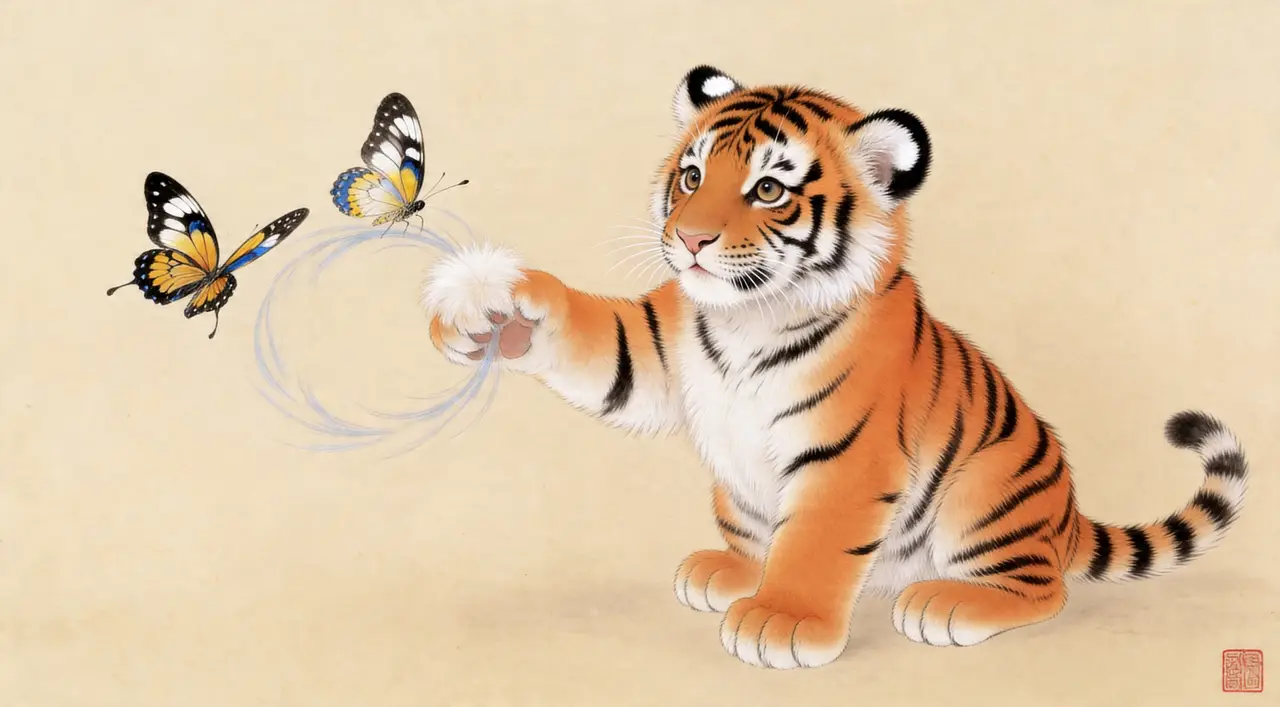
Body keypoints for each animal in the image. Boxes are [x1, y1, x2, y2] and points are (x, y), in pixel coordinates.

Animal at [421, 65, 1250, 670]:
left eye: (769, 189)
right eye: (691, 176)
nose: (688, 239)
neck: (746, 315)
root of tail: (1069, 517)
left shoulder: (847, 455)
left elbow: (817, 543)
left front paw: (783, 623)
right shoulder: (655, 349)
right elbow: (598, 345)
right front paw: (490, 309)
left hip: (987, 495)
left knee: (1042, 587)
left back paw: (945, 603)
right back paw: (728, 570)